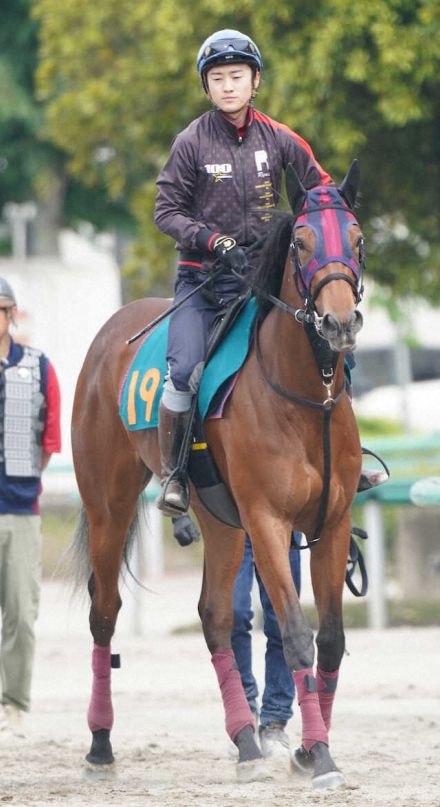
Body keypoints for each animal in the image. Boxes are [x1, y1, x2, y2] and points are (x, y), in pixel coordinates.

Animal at [71, 163, 364, 788]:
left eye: (357, 240)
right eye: (302, 243)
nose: (339, 322)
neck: (305, 398)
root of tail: (113, 328)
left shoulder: (331, 521)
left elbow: (329, 641)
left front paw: (308, 750)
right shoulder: (268, 521)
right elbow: (296, 635)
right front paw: (321, 756)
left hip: (219, 521)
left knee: (214, 615)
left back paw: (247, 742)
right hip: (109, 506)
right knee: (104, 614)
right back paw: (101, 745)